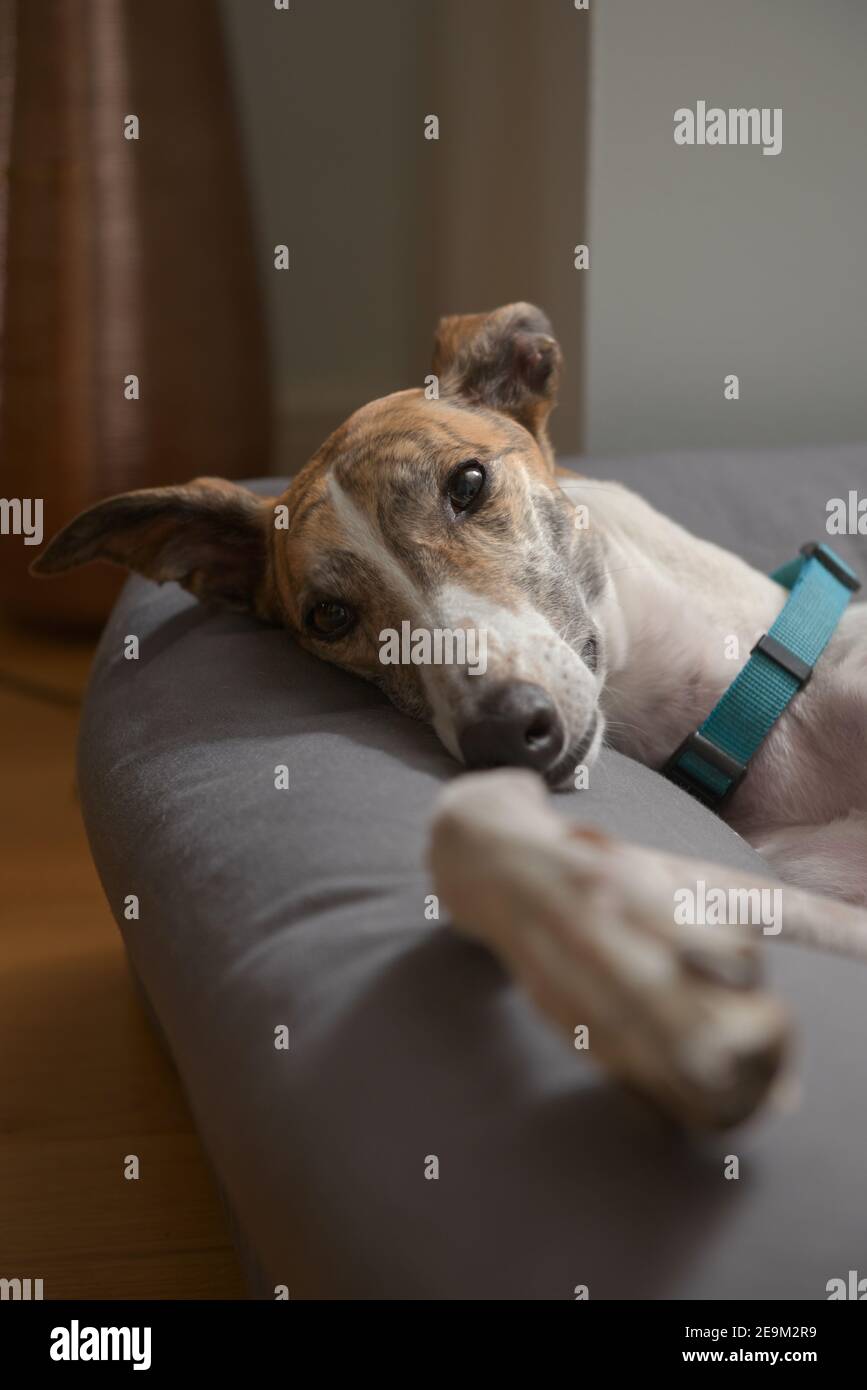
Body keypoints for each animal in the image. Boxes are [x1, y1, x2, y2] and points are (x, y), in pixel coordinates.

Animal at [33, 304, 867, 1128]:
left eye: (467, 482)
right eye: (329, 615)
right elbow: (468, 825)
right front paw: (645, 996)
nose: (505, 730)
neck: (757, 705)